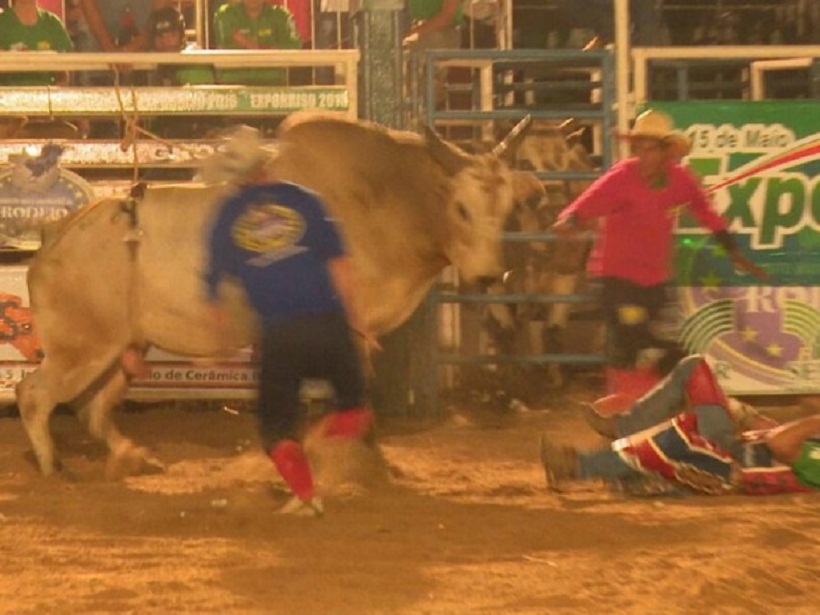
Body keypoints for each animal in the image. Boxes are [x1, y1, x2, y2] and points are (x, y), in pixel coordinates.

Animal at [16, 112, 540, 476]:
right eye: (461, 208)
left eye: (509, 208)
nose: (489, 275)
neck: (380, 199)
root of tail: (56, 238)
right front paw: (359, 463)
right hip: (84, 346)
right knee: (34, 394)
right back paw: (52, 465)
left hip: (123, 344)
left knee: (92, 408)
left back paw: (132, 456)